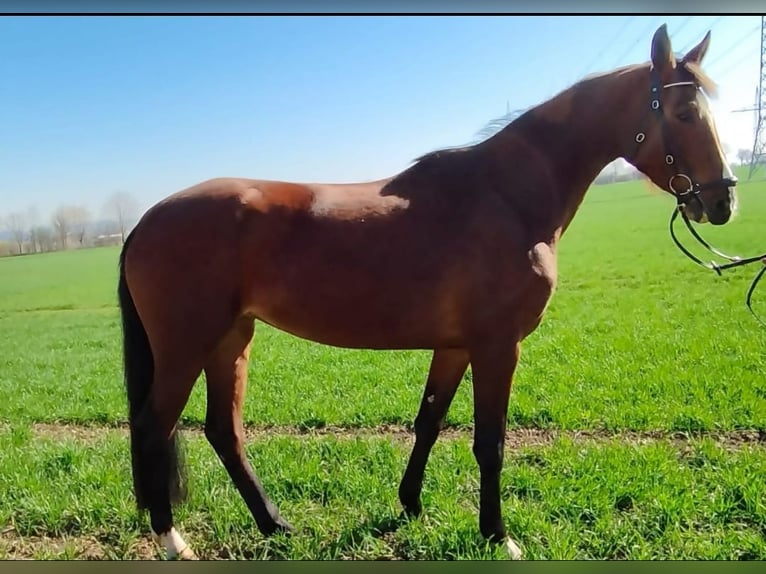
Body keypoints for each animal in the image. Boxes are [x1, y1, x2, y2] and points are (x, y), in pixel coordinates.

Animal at [117, 24, 738, 560]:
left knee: (224, 431)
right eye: (684, 112)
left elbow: (430, 421)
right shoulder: (497, 346)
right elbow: (490, 442)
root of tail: (143, 223)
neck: (506, 197)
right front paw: (498, 536)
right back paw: (174, 541)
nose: (722, 201)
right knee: (154, 427)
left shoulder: (456, 346)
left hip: (231, 339)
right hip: (185, 347)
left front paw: (411, 505)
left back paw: (275, 525)